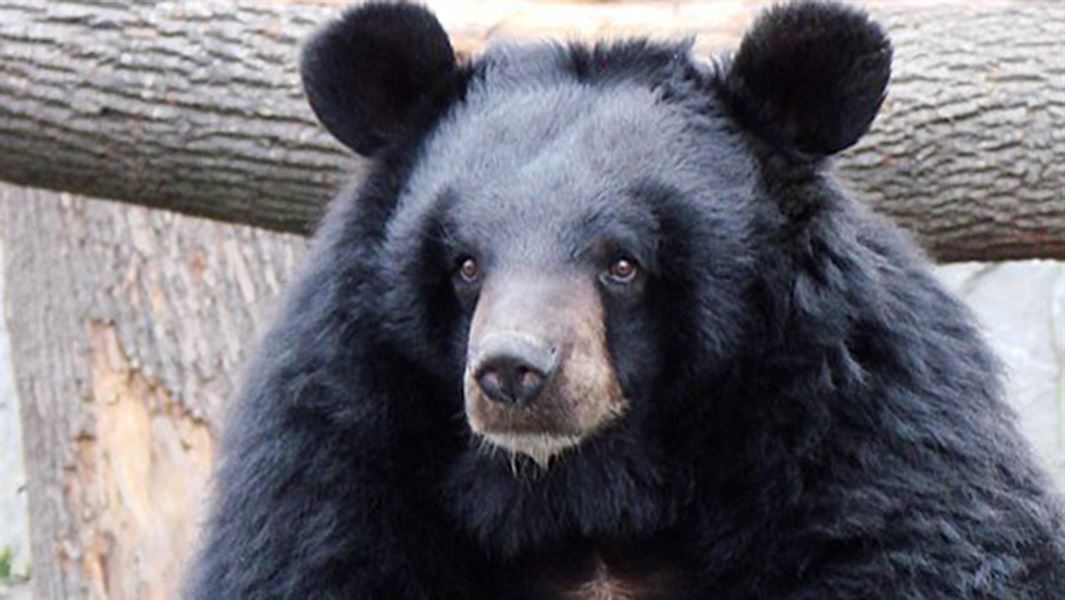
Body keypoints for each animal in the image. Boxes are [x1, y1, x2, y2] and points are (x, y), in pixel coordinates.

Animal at [185, 2, 1065, 596]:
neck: (586, 492)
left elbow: (909, 538)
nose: (511, 373)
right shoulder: (338, 436)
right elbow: (313, 549)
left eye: (621, 264)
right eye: (465, 266)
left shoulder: (865, 424)